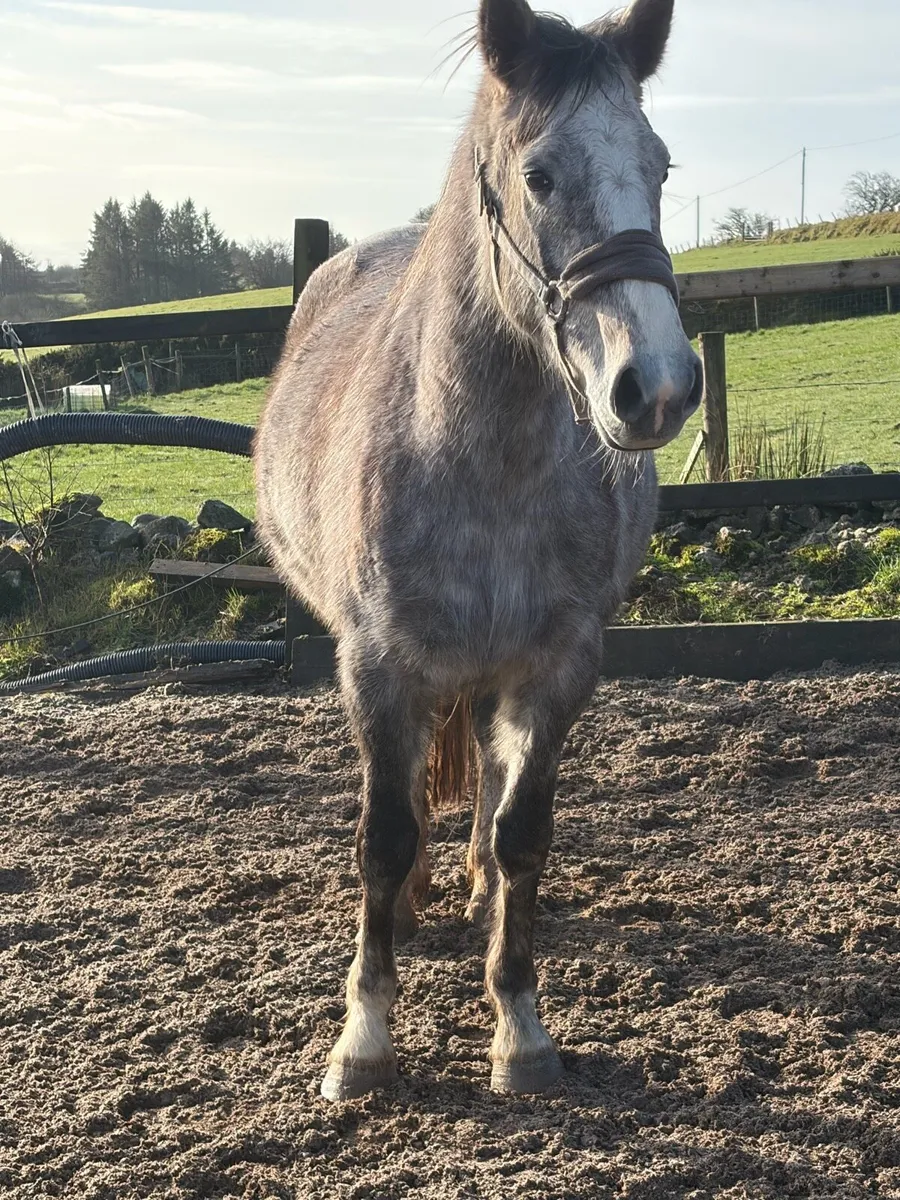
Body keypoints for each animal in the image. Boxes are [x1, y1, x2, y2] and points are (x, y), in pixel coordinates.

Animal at [254, 0, 701, 1101]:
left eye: (659, 164)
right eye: (538, 175)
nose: (661, 389)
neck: (482, 464)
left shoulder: (558, 666)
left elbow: (522, 833)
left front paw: (520, 1029)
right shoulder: (377, 666)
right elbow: (382, 838)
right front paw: (364, 1041)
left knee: (491, 799)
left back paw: (471, 891)